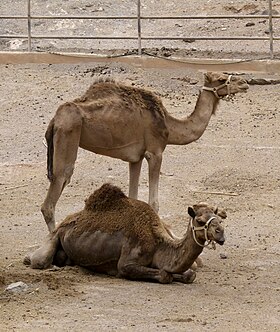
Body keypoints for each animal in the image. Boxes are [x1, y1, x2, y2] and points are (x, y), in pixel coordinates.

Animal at [25, 183, 228, 284]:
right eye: (200, 221)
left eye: (219, 218)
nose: (221, 234)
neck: (158, 243)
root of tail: (65, 222)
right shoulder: (127, 263)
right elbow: (164, 275)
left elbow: (188, 274)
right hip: (54, 236)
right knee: (39, 260)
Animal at [41, 71, 247, 232]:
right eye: (221, 79)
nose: (244, 83)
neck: (169, 126)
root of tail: (54, 121)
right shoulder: (154, 152)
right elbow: (153, 203)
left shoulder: (136, 158)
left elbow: (133, 198)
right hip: (68, 135)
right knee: (54, 193)